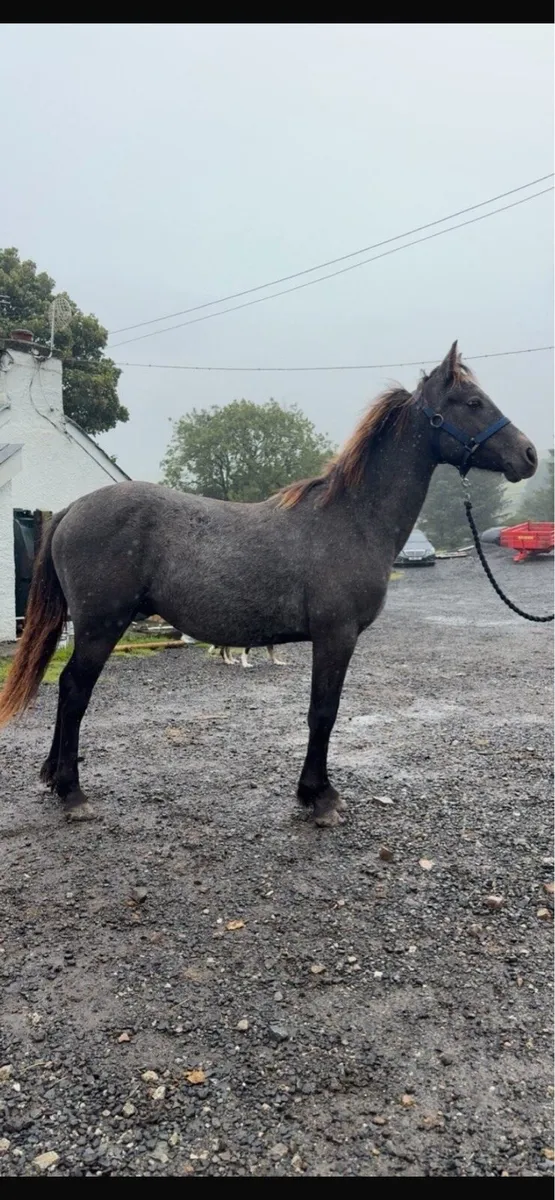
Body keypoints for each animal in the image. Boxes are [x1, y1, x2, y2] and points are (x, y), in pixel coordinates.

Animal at [0, 343, 537, 827]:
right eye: (473, 403)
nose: (528, 454)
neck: (352, 519)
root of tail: (73, 508)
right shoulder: (336, 636)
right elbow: (323, 712)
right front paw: (319, 798)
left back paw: (53, 778)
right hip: (100, 626)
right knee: (74, 690)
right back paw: (72, 792)